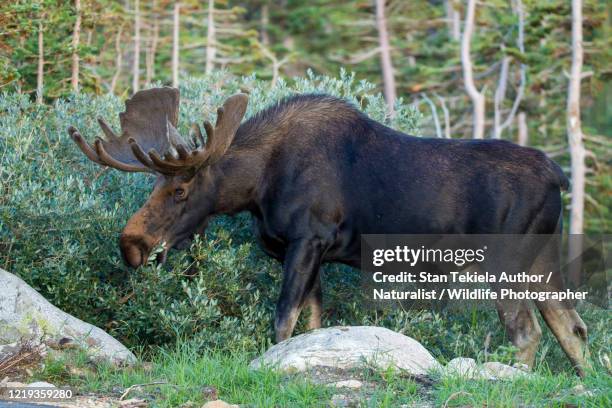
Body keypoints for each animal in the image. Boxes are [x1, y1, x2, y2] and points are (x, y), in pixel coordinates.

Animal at [67, 87, 588, 376]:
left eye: (180, 188)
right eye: (155, 183)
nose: (131, 245)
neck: (258, 186)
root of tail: (559, 176)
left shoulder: (307, 240)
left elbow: (282, 324)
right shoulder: (308, 252)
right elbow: (311, 327)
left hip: (504, 263)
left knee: (527, 333)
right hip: (542, 261)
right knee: (571, 328)